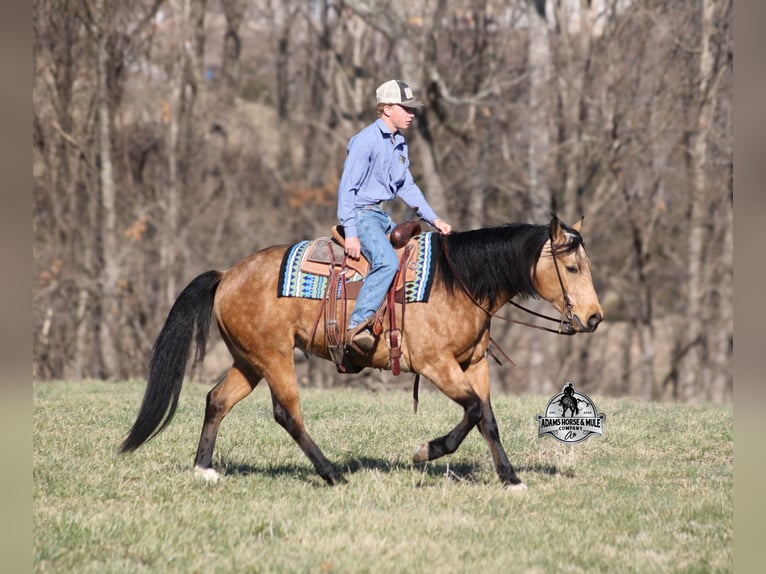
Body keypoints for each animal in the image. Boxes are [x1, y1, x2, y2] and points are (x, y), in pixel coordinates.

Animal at [120, 215, 603, 490]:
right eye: (571, 267)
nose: (595, 317)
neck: (456, 282)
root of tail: (226, 275)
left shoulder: (474, 364)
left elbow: (486, 418)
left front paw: (510, 478)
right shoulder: (436, 365)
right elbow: (469, 412)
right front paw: (425, 451)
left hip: (248, 360)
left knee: (217, 400)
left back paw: (204, 468)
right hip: (274, 358)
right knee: (286, 413)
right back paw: (331, 473)